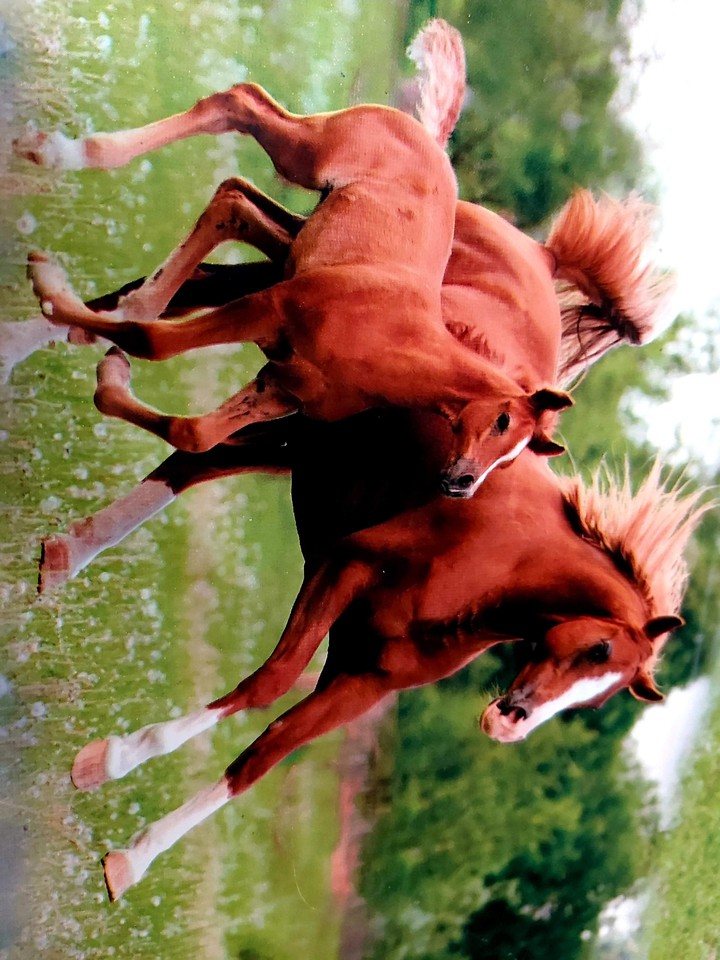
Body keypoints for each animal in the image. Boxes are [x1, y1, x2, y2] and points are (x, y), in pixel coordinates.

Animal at [18, 20, 574, 490]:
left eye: (514, 453)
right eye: (502, 420)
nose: (462, 484)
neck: (392, 342)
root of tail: (429, 137)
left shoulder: (281, 385)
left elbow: (195, 434)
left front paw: (110, 370)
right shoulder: (269, 307)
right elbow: (152, 343)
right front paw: (48, 287)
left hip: (295, 234)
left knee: (234, 198)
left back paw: (124, 301)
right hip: (305, 157)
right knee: (242, 102)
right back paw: (59, 153)